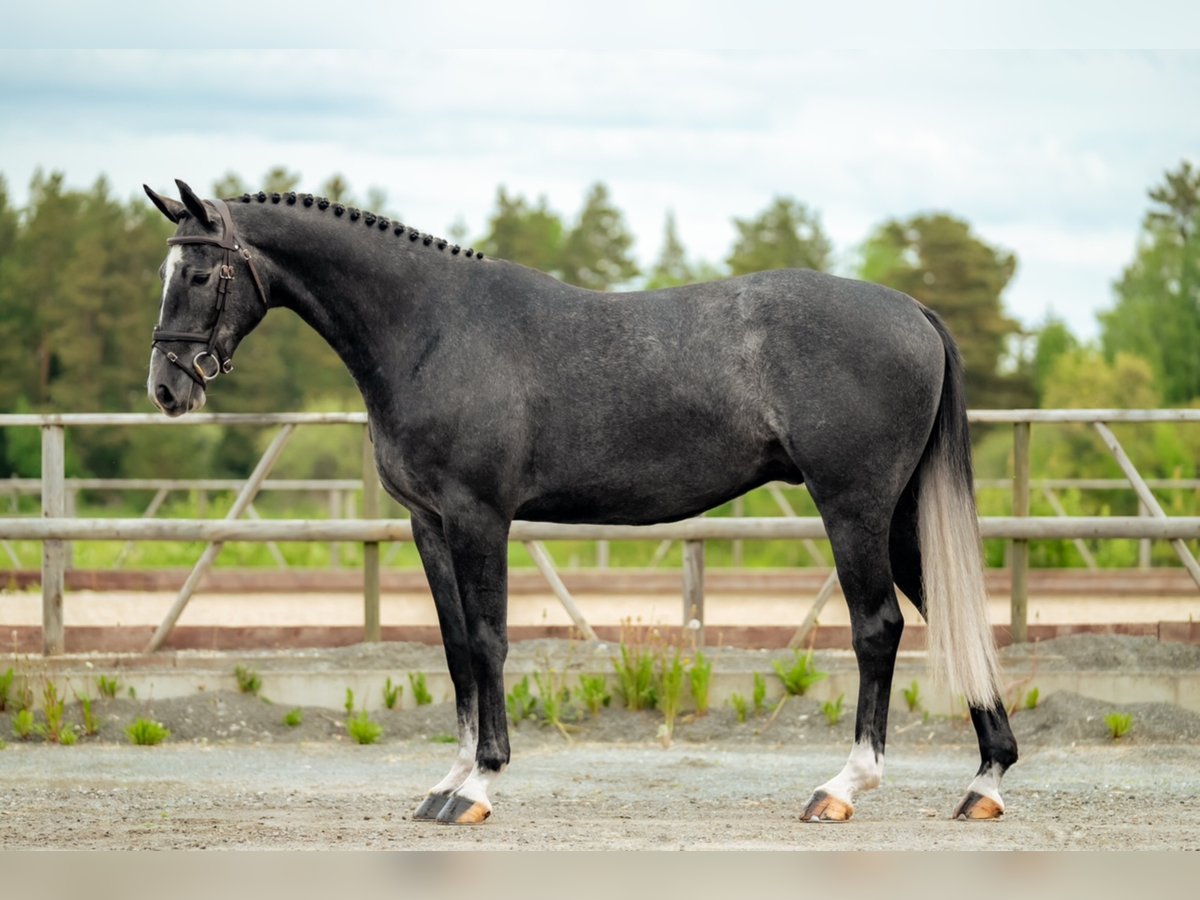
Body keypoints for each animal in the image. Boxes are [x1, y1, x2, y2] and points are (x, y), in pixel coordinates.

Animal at [145, 180, 1017, 830]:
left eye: (201, 274)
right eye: (170, 271)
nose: (166, 389)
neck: (431, 329)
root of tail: (912, 311)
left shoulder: (478, 516)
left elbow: (489, 641)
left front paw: (479, 785)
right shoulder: (428, 524)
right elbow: (454, 647)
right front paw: (445, 781)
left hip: (853, 508)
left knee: (878, 628)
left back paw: (842, 787)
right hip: (896, 516)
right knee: (948, 614)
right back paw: (985, 782)